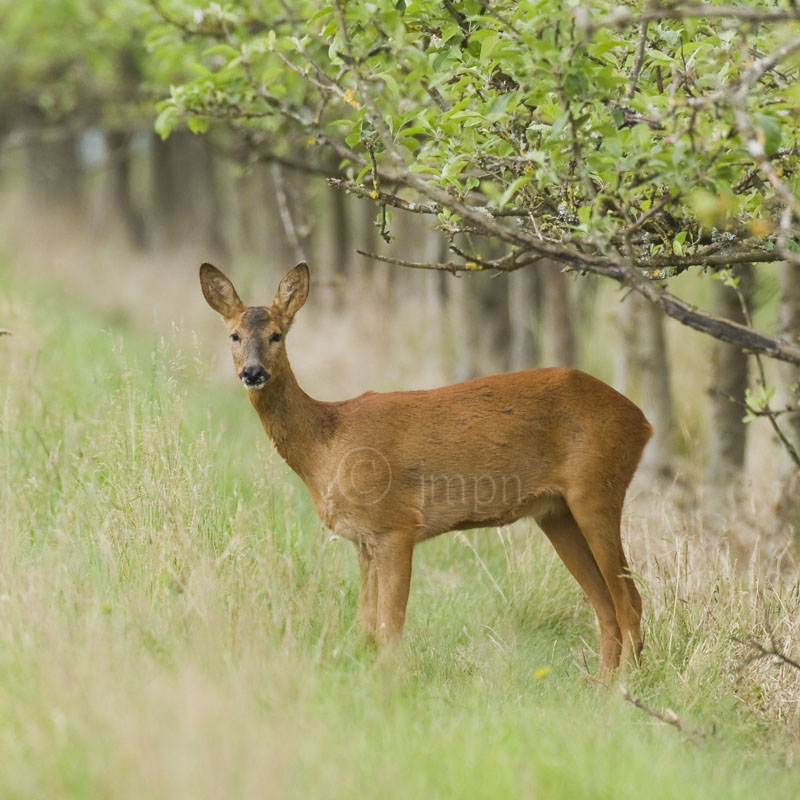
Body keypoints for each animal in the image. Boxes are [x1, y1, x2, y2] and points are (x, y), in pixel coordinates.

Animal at [198, 260, 648, 668]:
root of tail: (643, 421)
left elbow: (389, 628)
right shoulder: (363, 541)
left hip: (597, 488)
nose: (252, 372)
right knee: (607, 605)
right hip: (555, 512)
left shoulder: (396, 525)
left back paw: (624, 687)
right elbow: (366, 628)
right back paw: (603, 685)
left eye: (276, 335)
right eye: (234, 335)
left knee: (630, 601)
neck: (326, 447)